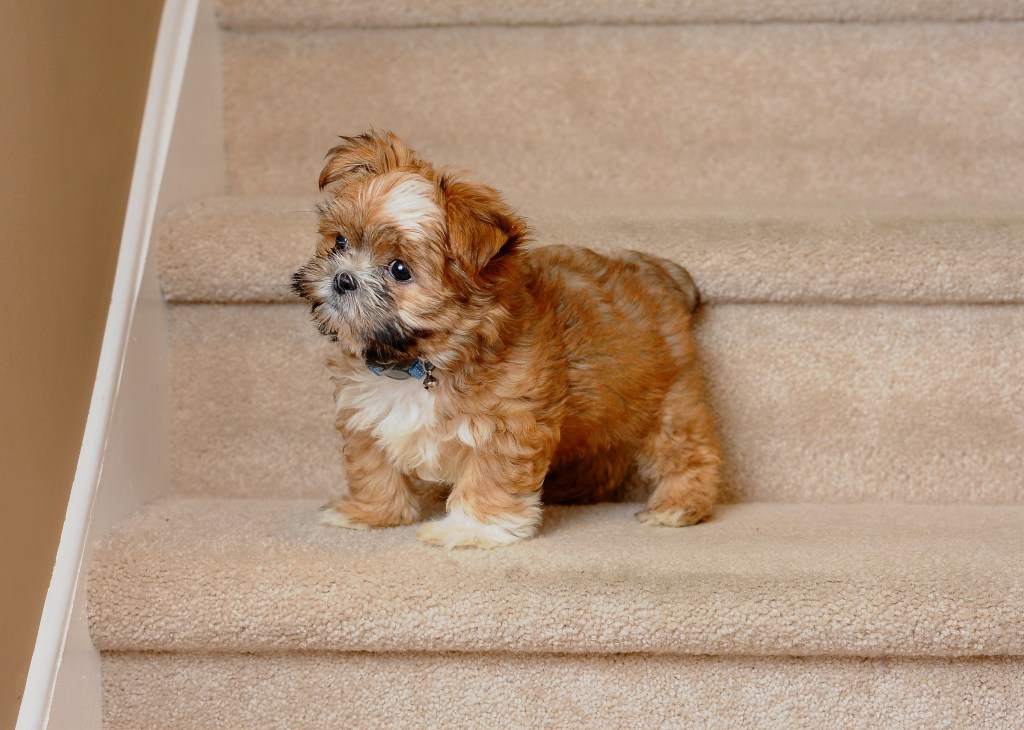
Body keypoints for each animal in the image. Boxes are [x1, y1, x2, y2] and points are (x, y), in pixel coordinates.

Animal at [290, 131, 720, 548]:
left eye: (399, 270)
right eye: (340, 242)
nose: (343, 278)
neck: (419, 361)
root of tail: (655, 274)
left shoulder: (506, 426)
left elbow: (488, 479)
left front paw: (471, 530)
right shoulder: (364, 416)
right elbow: (372, 466)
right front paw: (371, 512)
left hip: (669, 403)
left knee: (688, 453)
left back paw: (678, 505)